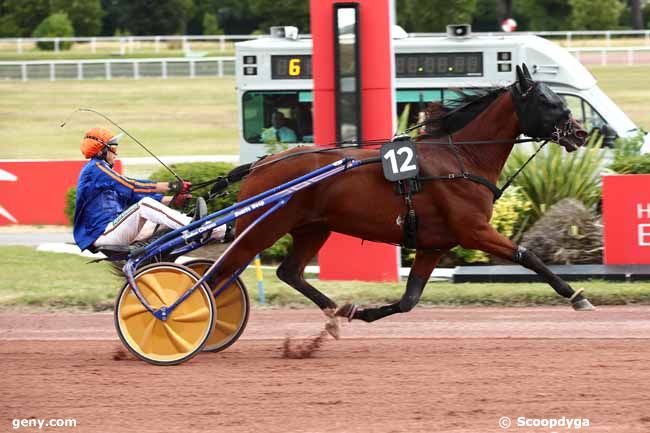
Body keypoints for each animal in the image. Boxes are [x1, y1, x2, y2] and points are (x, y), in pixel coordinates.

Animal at [209, 64, 592, 332]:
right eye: (546, 100)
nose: (581, 133)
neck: (462, 158)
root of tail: (261, 163)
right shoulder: (474, 231)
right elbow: (528, 255)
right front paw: (577, 296)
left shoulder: (434, 244)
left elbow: (410, 299)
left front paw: (365, 312)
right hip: (261, 230)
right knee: (219, 274)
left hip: (313, 228)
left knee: (289, 272)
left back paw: (340, 310)